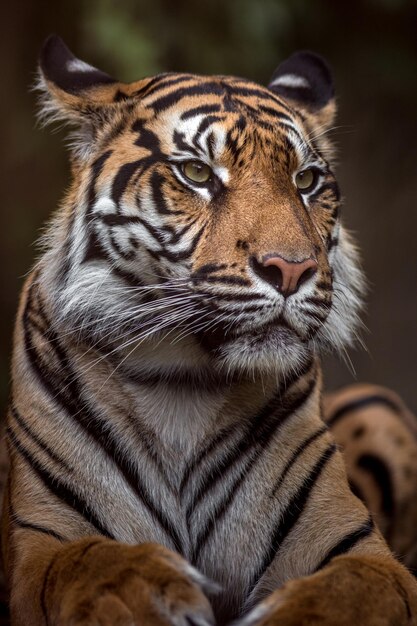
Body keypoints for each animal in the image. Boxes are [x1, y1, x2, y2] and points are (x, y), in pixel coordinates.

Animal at [3, 35, 416, 624]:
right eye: (197, 174)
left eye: (306, 181)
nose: (290, 268)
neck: (182, 385)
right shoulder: (43, 543)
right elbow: (92, 561)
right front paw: (151, 590)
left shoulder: (360, 550)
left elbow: (347, 591)